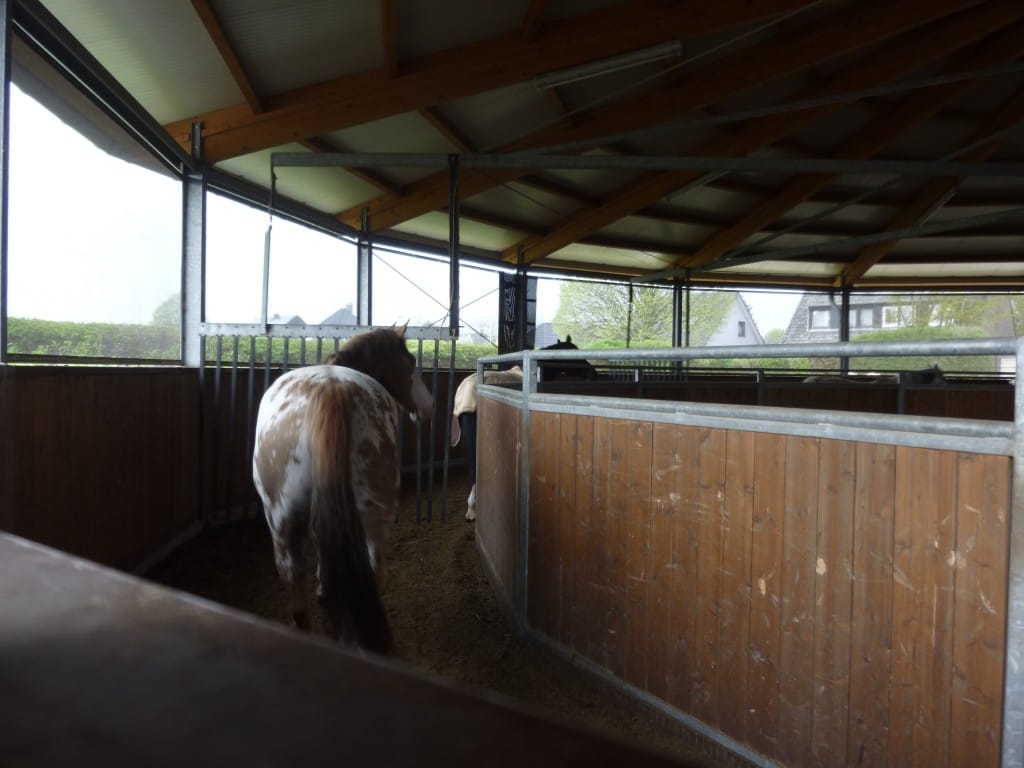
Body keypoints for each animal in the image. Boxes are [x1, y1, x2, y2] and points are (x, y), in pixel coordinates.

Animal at [256, 325, 436, 655]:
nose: (429, 407)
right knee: (373, 573)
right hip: (375, 517)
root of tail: (329, 392)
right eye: (411, 361)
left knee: (298, 595)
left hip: (282, 521)